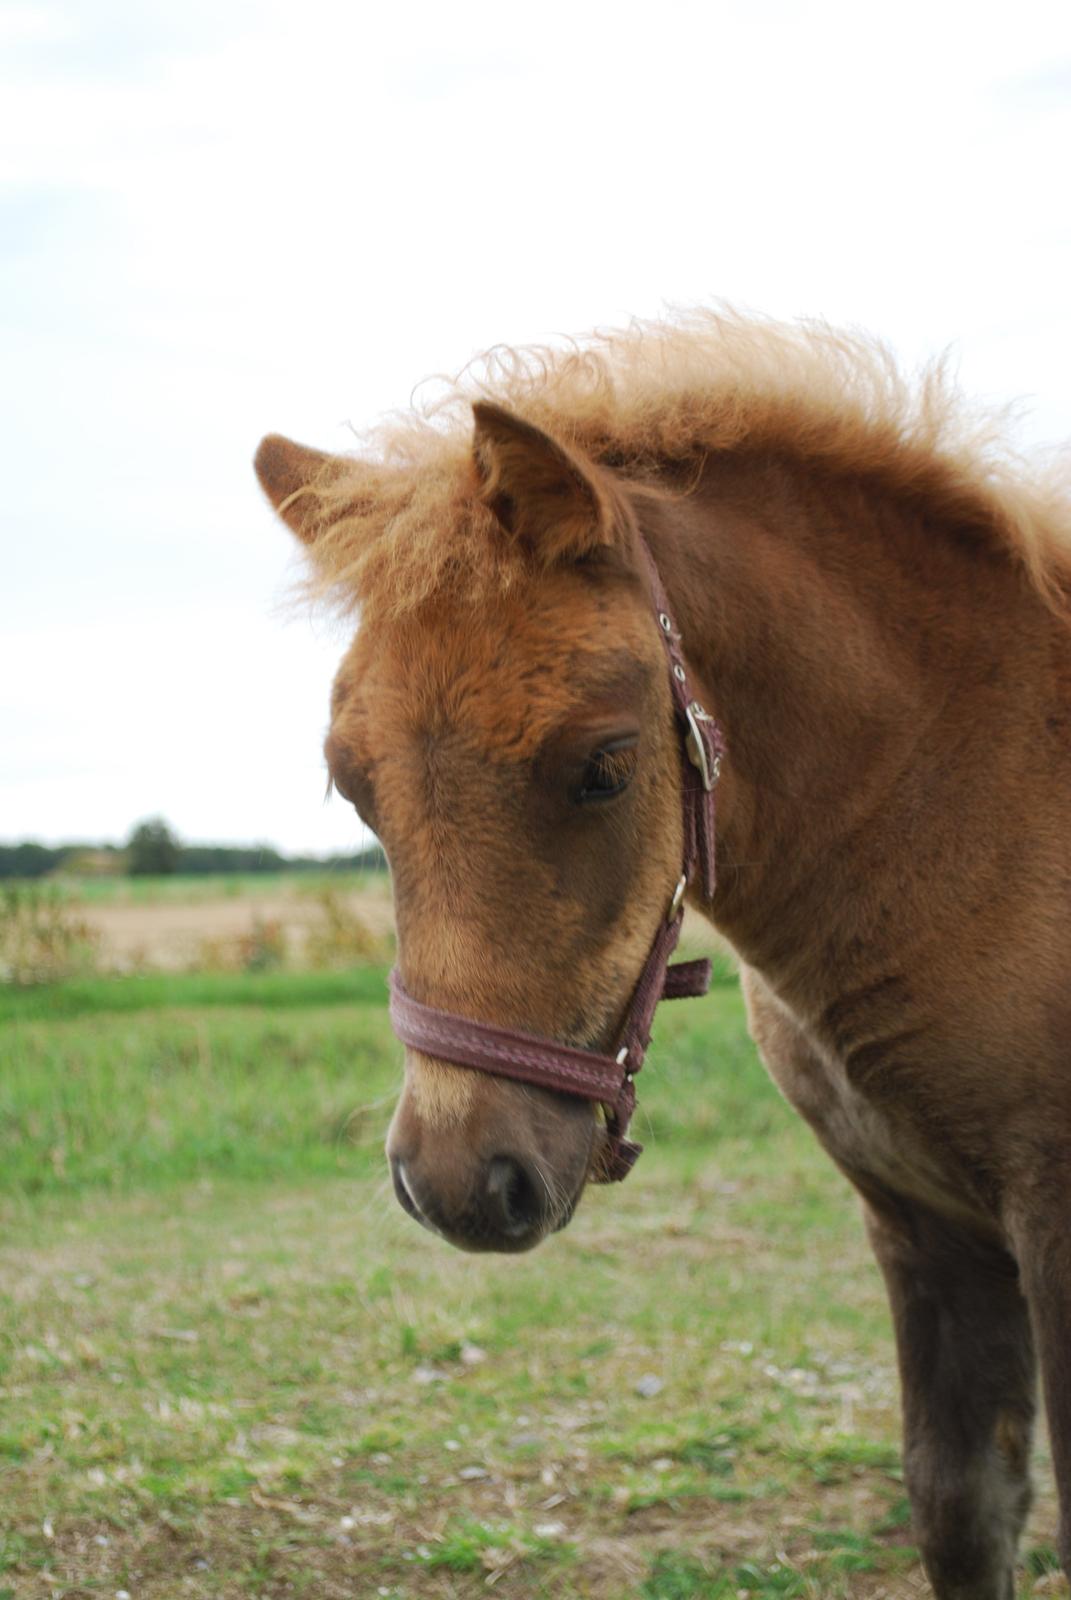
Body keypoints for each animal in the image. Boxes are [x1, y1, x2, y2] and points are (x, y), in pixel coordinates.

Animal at [254, 305, 1069, 1593]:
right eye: (351, 785)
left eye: (603, 764)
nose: (457, 1183)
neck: (984, 800)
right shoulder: (922, 1223)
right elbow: (963, 1506)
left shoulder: (1053, 1216)